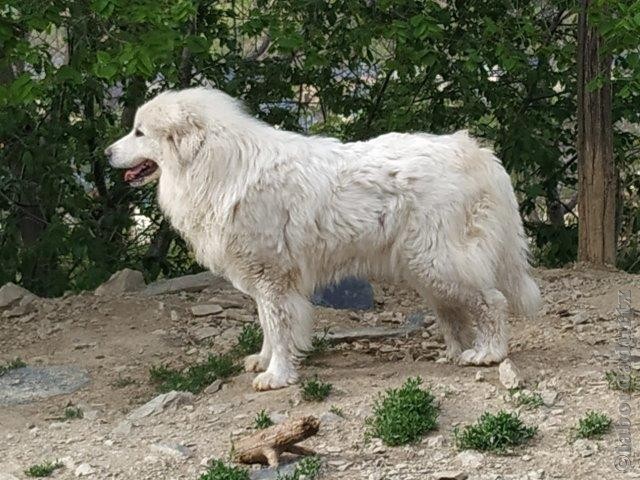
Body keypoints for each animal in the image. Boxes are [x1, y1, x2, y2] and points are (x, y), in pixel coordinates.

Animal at [107, 88, 544, 392]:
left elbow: (280, 325)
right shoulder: (264, 278)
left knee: (491, 301)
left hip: (439, 260)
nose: (107, 153)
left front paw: (277, 375)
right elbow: (267, 325)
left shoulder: (273, 277)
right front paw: (264, 360)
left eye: (139, 132)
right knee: (456, 311)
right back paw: (454, 352)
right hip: (426, 266)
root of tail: (476, 152)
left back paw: (488, 353)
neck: (215, 165)